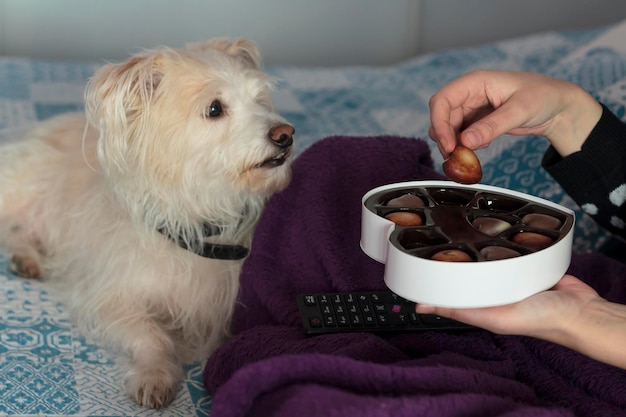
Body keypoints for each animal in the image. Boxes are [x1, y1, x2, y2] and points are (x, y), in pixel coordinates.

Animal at [0, 37, 294, 408]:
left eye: (260, 100)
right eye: (215, 109)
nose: (286, 134)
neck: (197, 221)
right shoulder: (108, 299)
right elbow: (152, 335)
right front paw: (155, 376)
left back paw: (26, 259)